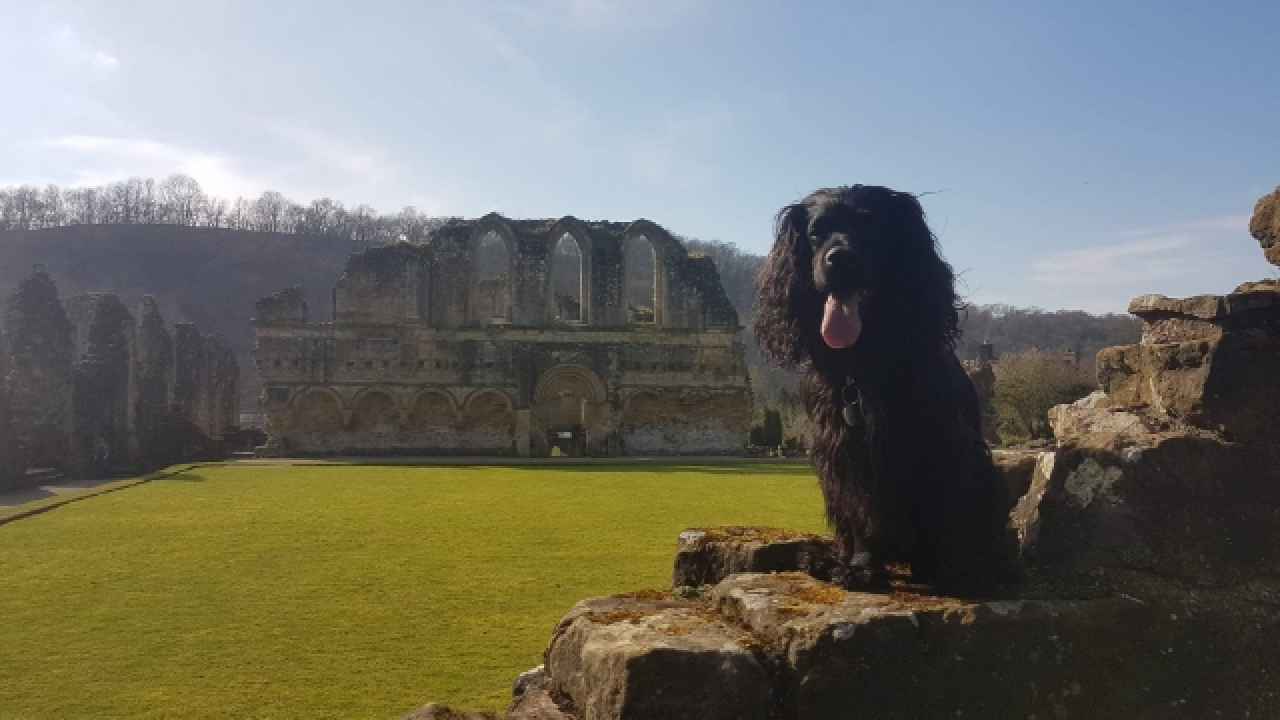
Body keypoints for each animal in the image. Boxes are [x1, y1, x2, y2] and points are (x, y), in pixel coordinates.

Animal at [752, 184, 1013, 594]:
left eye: (870, 226)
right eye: (816, 232)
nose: (839, 259)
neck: (864, 361)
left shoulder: (943, 443)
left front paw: (952, 572)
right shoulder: (845, 450)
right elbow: (862, 515)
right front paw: (859, 567)